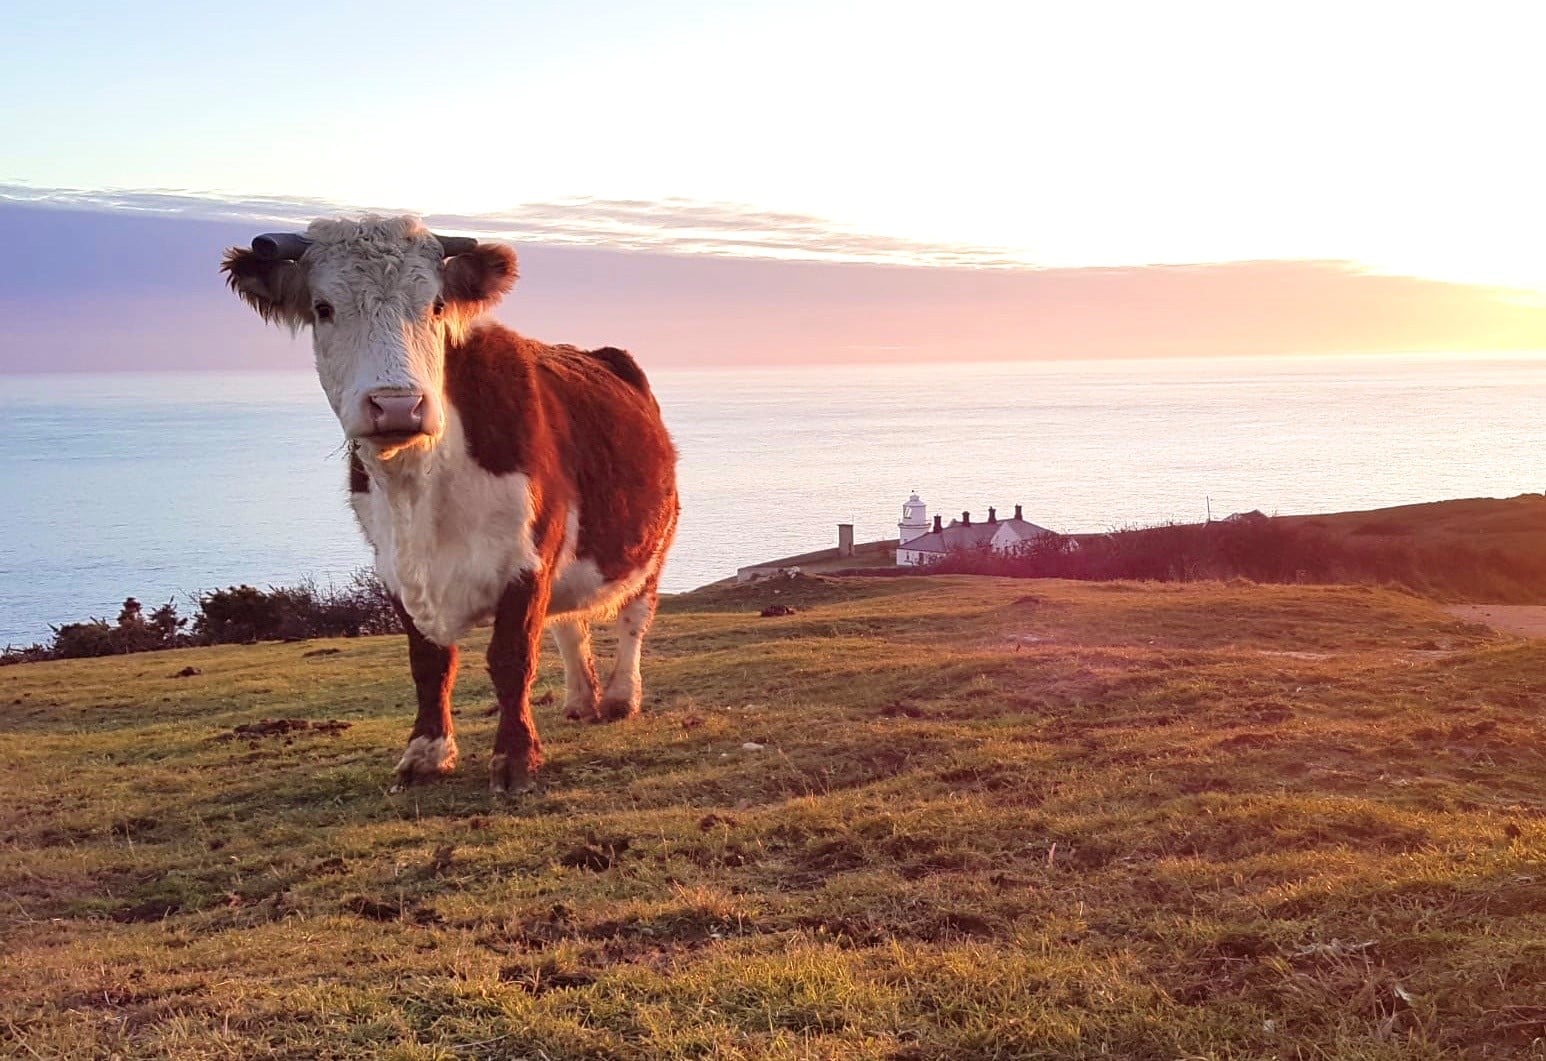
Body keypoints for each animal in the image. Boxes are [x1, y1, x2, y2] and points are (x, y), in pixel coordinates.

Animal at [222, 216, 677, 791]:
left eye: (435, 305)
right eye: (323, 308)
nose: (397, 405)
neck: (420, 489)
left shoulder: (528, 555)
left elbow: (511, 658)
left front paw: (516, 758)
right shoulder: (393, 566)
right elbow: (429, 663)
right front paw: (426, 752)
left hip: (653, 544)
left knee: (634, 616)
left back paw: (619, 697)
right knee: (568, 623)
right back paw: (580, 700)